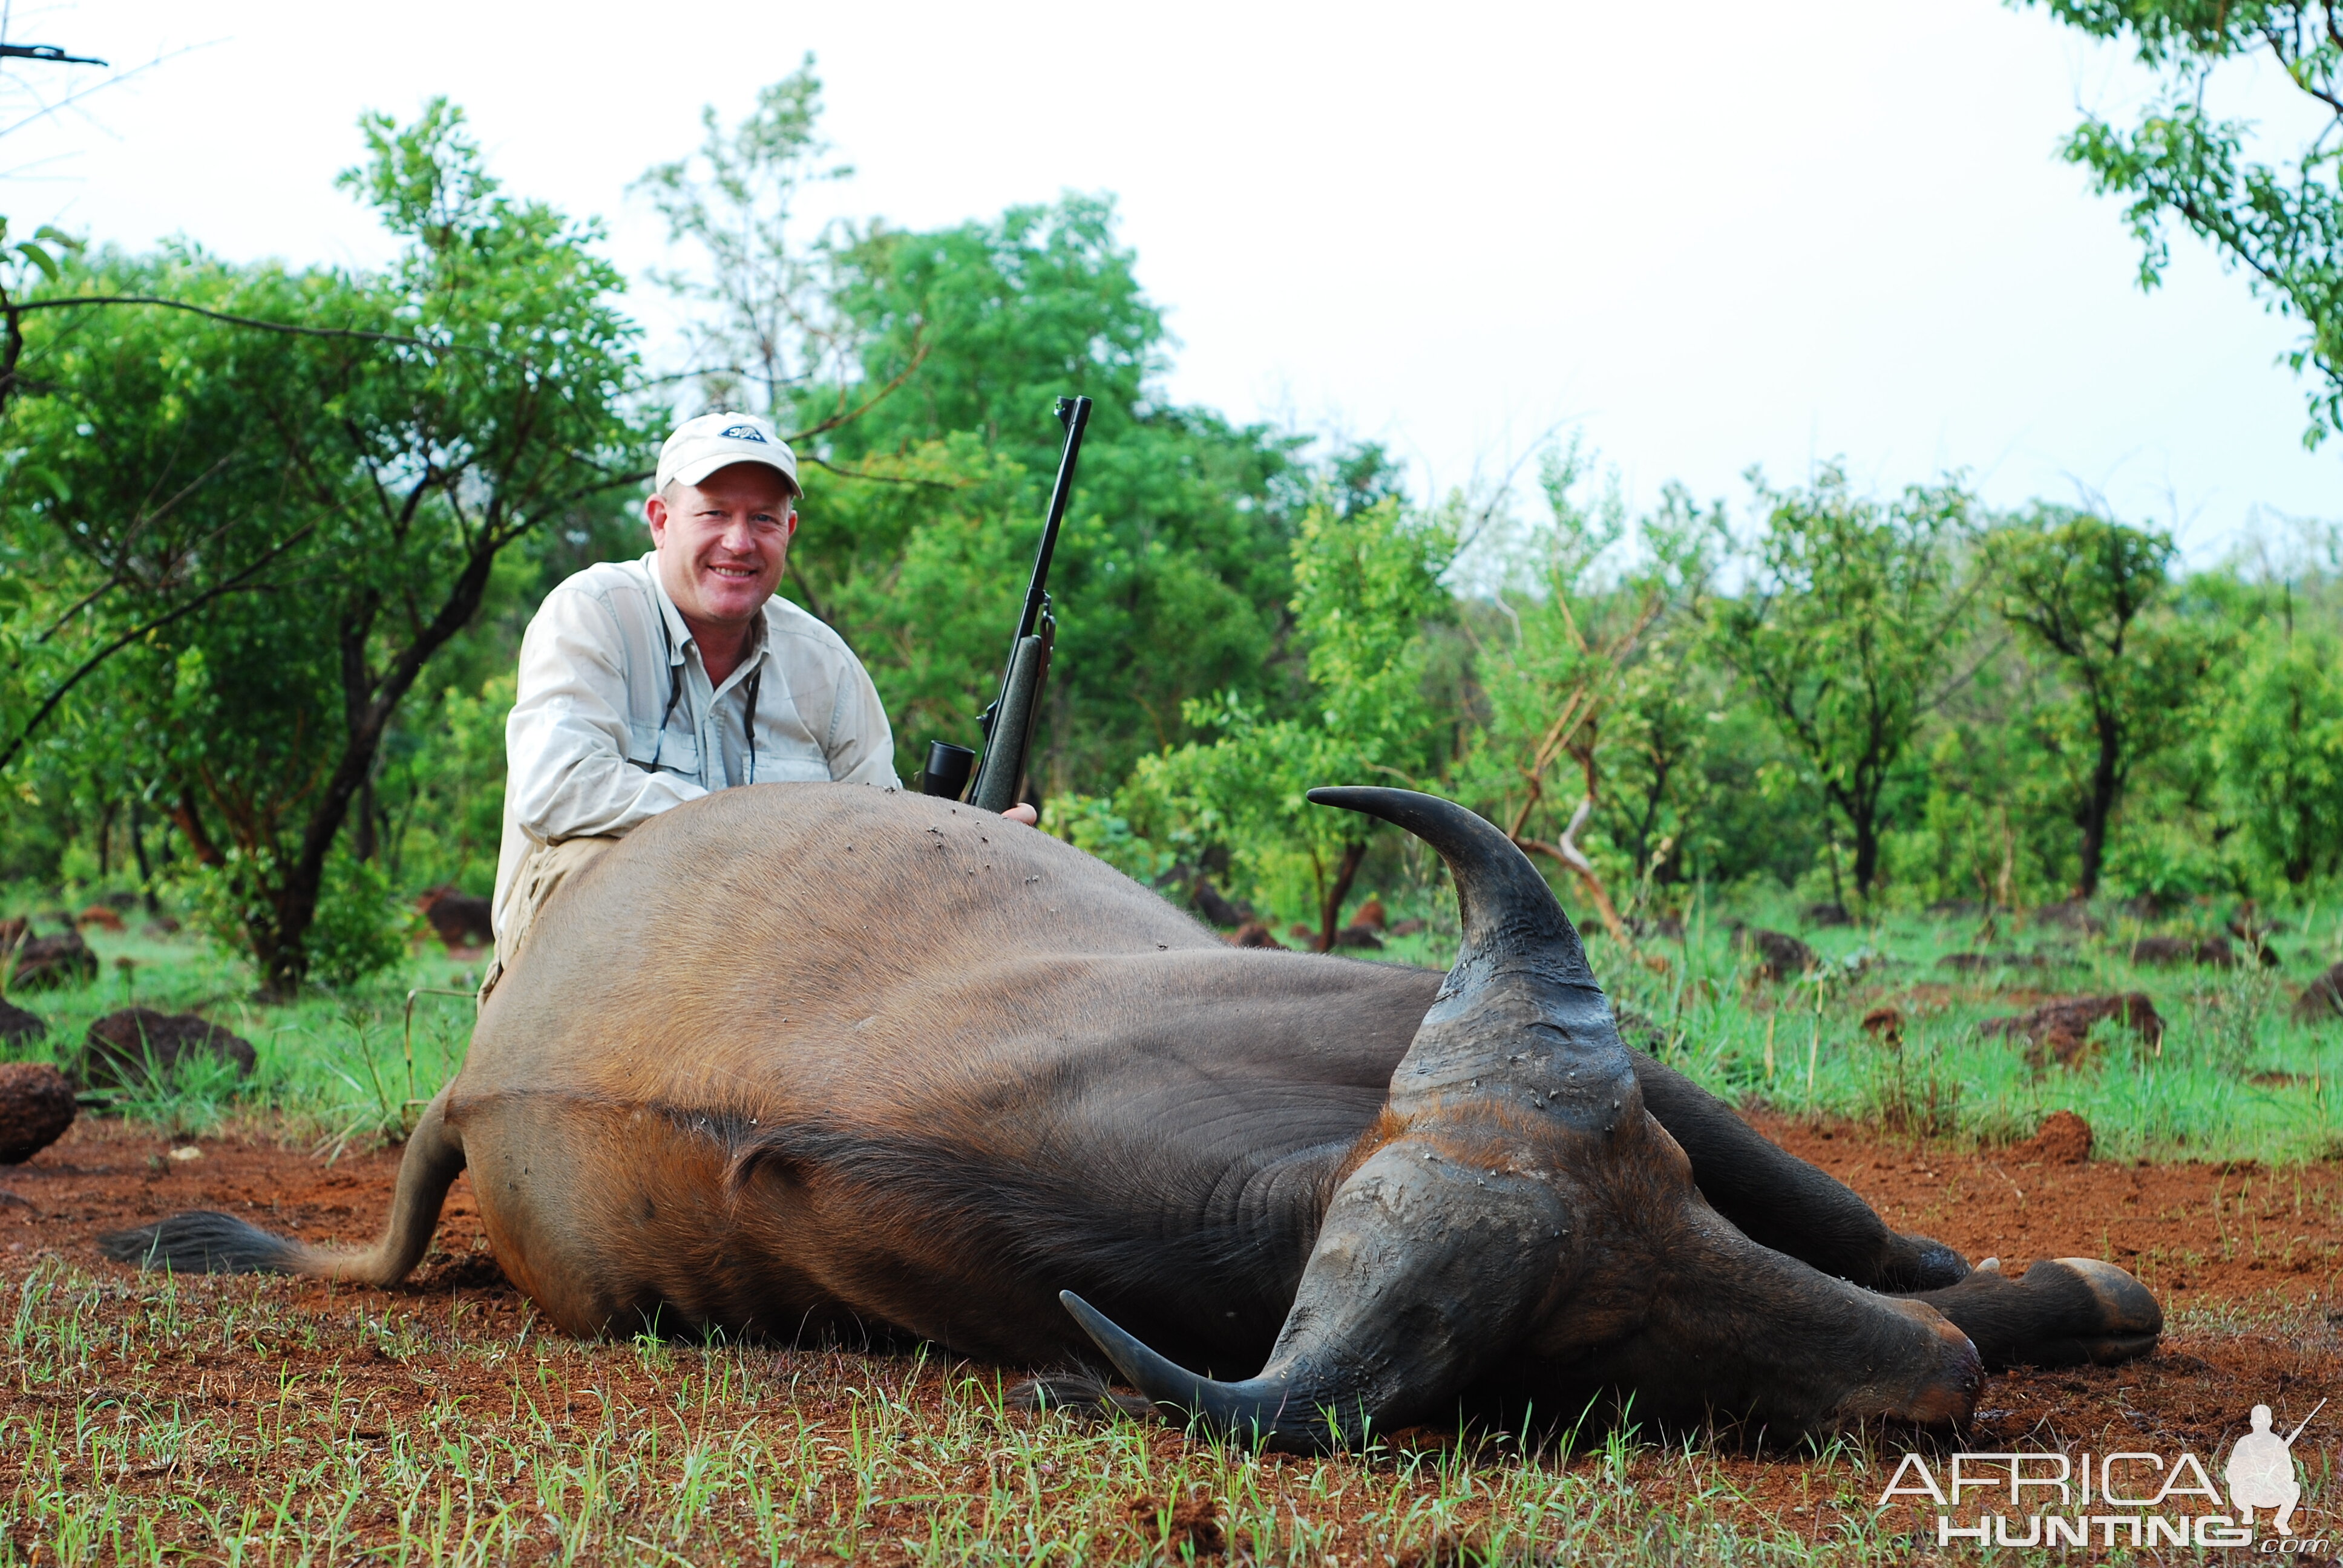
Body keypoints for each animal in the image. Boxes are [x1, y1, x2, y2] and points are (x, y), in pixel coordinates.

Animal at [110, 783, 2155, 1443]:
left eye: (1675, 1203)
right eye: (1591, 1346)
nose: (1935, 1394)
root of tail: (473, 1076)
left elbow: (1844, 1214)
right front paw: (2062, 1297)